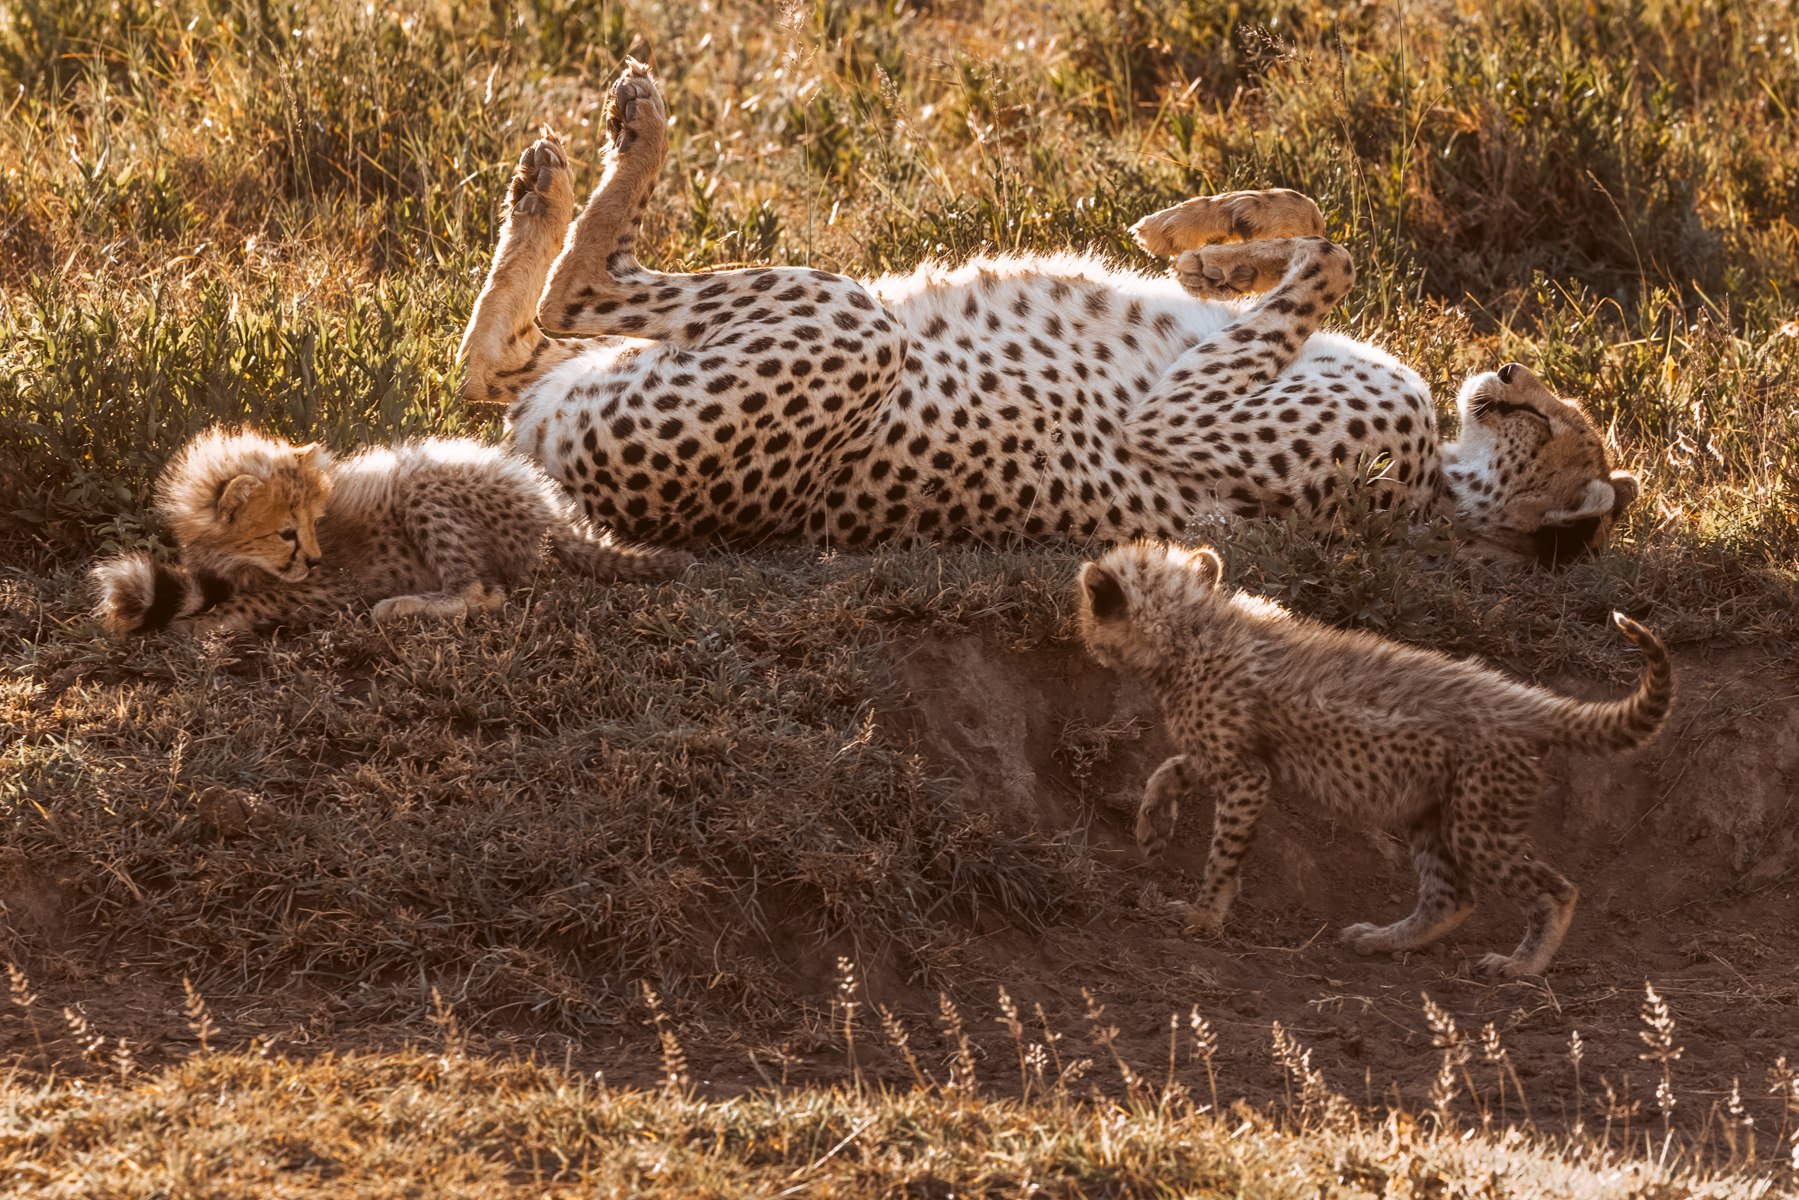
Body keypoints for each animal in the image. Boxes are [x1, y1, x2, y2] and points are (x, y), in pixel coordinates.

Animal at [90, 427, 693, 636]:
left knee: (482, 593)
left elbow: (248, 604)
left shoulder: (327, 588)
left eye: (313, 524)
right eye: (287, 532)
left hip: (422, 487)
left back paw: (399, 607)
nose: (313, 558)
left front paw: (196, 627)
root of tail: (548, 506)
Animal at [458, 58, 1639, 566]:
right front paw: (1205, 237)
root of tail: (559, 474)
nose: (1507, 375)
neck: (1437, 487)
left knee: (571, 295)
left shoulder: (1188, 423)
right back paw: (540, 186)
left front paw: (1214, 249)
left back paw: (618, 136)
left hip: (841, 324)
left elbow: (1335, 255)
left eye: (1553, 425)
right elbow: (1316, 225)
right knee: (503, 354)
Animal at [1076, 539, 1673, 977]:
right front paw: (1152, 827)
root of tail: (1526, 699)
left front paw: (1204, 914)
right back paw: (1386, 940)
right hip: (1432, 814)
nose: (1081, 631)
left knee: (1555, 890)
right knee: (1450, 897)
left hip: (1478, 821)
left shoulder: (1245, 773)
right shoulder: (1225, 755)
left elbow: (1222, 853)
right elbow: (1168, 769)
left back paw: (1522, 965)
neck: (1192, 629)